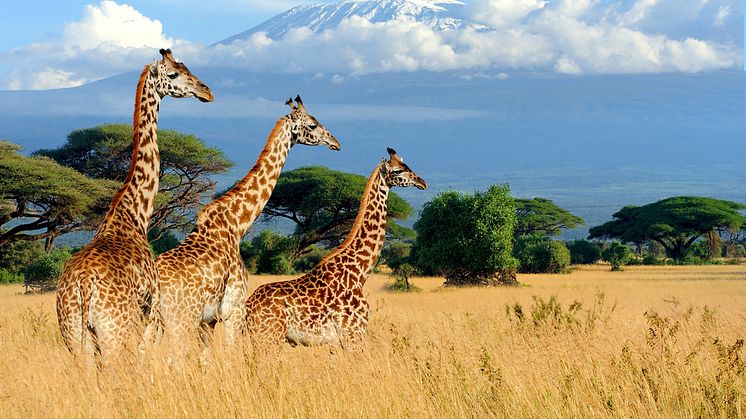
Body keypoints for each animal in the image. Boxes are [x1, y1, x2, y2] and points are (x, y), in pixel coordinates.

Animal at [54, 48, 212, 364]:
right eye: (174, 73)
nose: (207, 92)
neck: (134, 214)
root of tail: (82, 286)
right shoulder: (150, 310)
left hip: (74, 335)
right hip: (114, 331)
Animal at [154, 96, 340, 358]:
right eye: (313, 125)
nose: (336, 143)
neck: (237, 224)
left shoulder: (209, 321)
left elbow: (205, 359)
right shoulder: (234, 310)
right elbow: (231, 356)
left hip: (153, 322)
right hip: (181, 320)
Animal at [246, 148, 424, 348]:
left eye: (407, 166)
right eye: (398, 171)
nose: (422, 182)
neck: (359, 272)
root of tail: (248, 307)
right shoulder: (354, 333)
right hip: (268, 336)